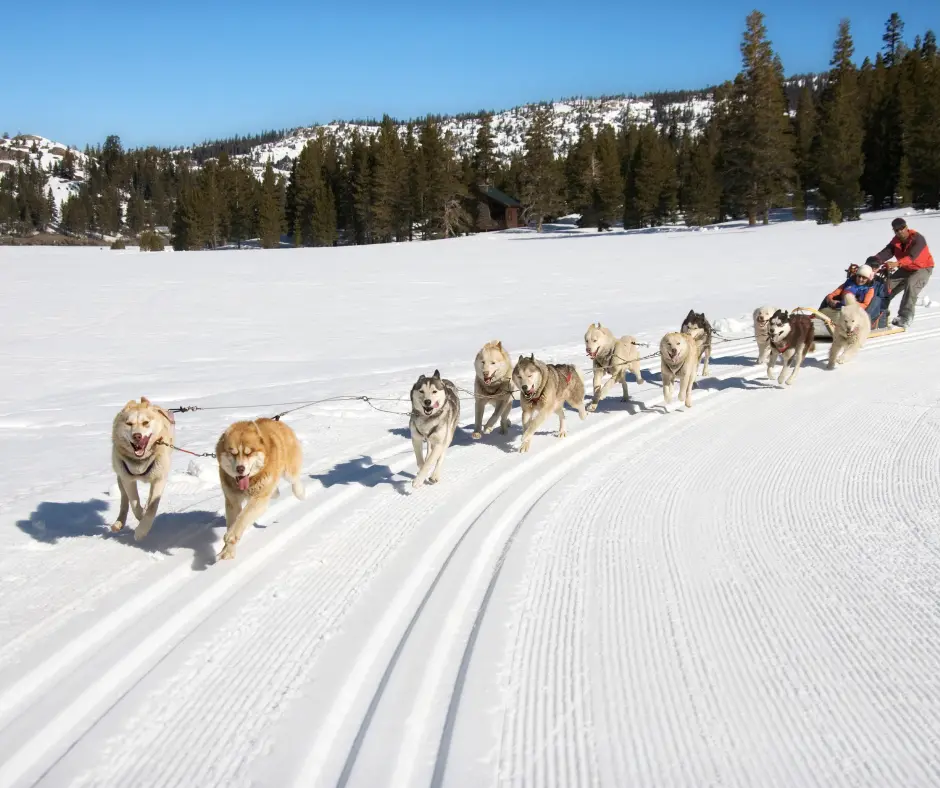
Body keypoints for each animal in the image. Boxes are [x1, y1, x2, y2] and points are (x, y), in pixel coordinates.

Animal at [110, 398, 176, 540]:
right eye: (129, 423)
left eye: (145, 423)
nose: (137, 436)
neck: (140, 462)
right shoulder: (128, 479)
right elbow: (134, 504)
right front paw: (141, 516)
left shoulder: (159, 478)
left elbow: (152, 507)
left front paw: (142, 530)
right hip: (120, 477)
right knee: (124, 500)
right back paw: (118, 523)